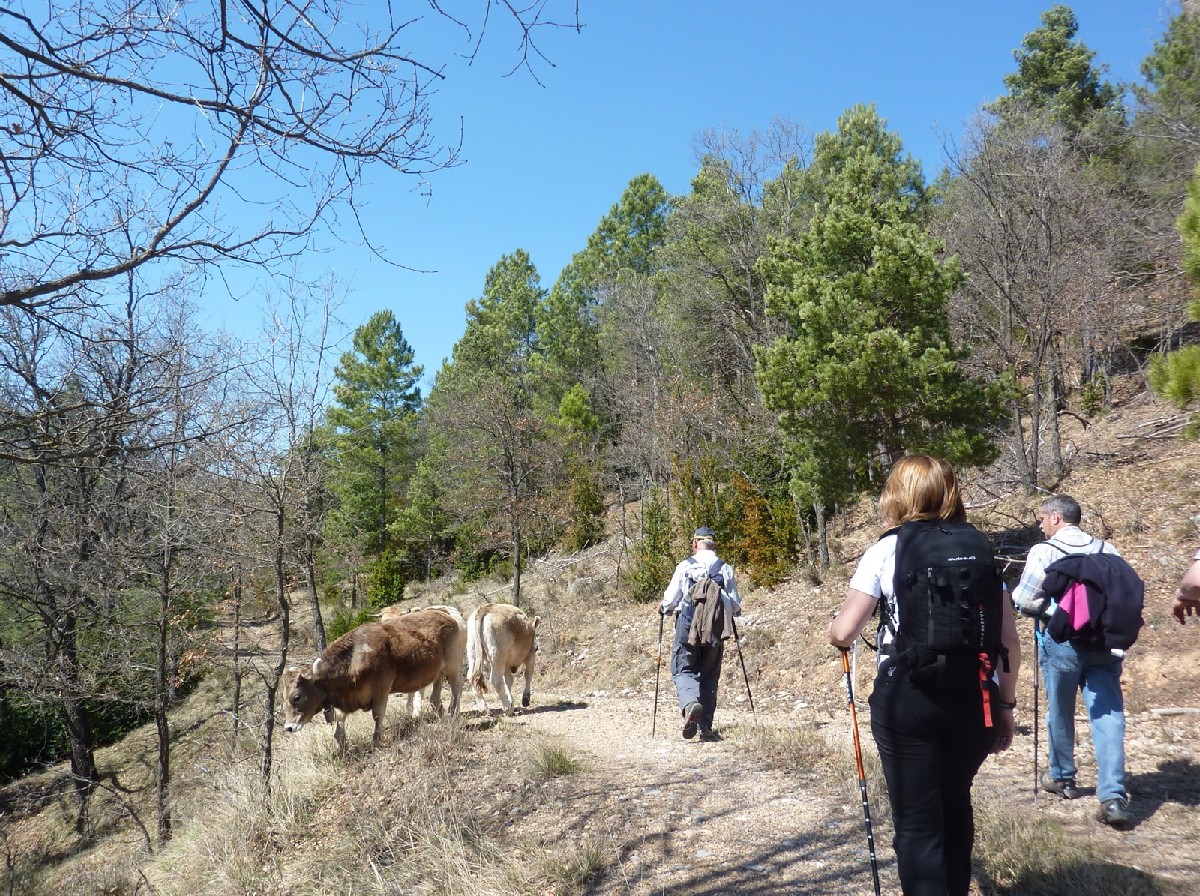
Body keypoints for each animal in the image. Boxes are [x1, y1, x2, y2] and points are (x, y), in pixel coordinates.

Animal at [282, 609, 464, 750]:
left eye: (296, 696)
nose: (288, 728)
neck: (353, 658)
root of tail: (446, 615)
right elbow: (339, 725)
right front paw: (344, 747)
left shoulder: (381, 690)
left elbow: (377, 716)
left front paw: (376, 743)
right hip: (438, 671)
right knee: (435, 696)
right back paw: (440, 713)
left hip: (453, 664)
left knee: (457, 688)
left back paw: (453, 712)